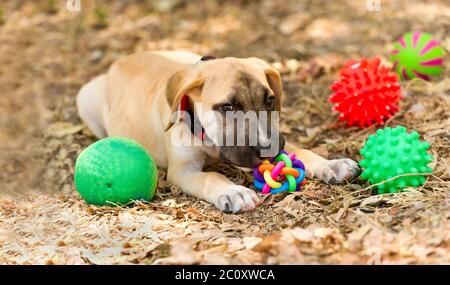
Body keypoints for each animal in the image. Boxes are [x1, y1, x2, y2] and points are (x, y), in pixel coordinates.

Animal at [77, 50, 358, 211]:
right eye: (227, 107)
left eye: (270, 101)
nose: (269, 151)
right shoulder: (183, 171)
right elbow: (210, 177)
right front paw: (233, 191)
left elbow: (303, 151)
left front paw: (331, 164)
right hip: (85, 98)